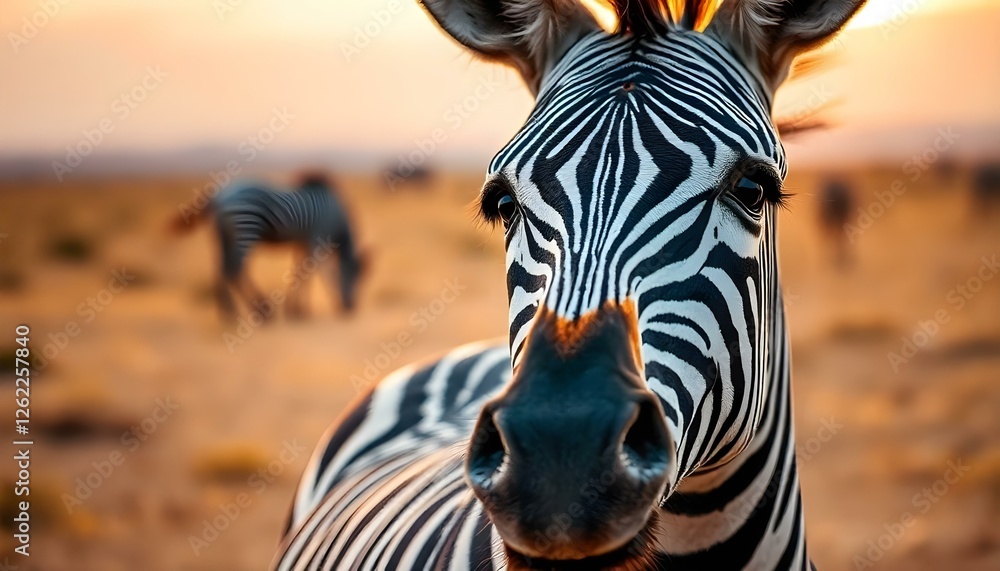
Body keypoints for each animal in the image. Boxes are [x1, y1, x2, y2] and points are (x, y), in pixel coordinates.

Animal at [178, 174, 364, 318]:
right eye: (354, 277)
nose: (351, 308)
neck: (337, 216)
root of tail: (220, 196)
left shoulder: (303, 242)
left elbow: (299, 272)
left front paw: (294, 310)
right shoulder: (317, 238)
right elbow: (313, 274)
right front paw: (302, 312)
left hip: (223, 237)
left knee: (221, 270)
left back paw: (228, 314)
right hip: (246, 228)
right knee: (234, 270)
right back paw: (259, 311)